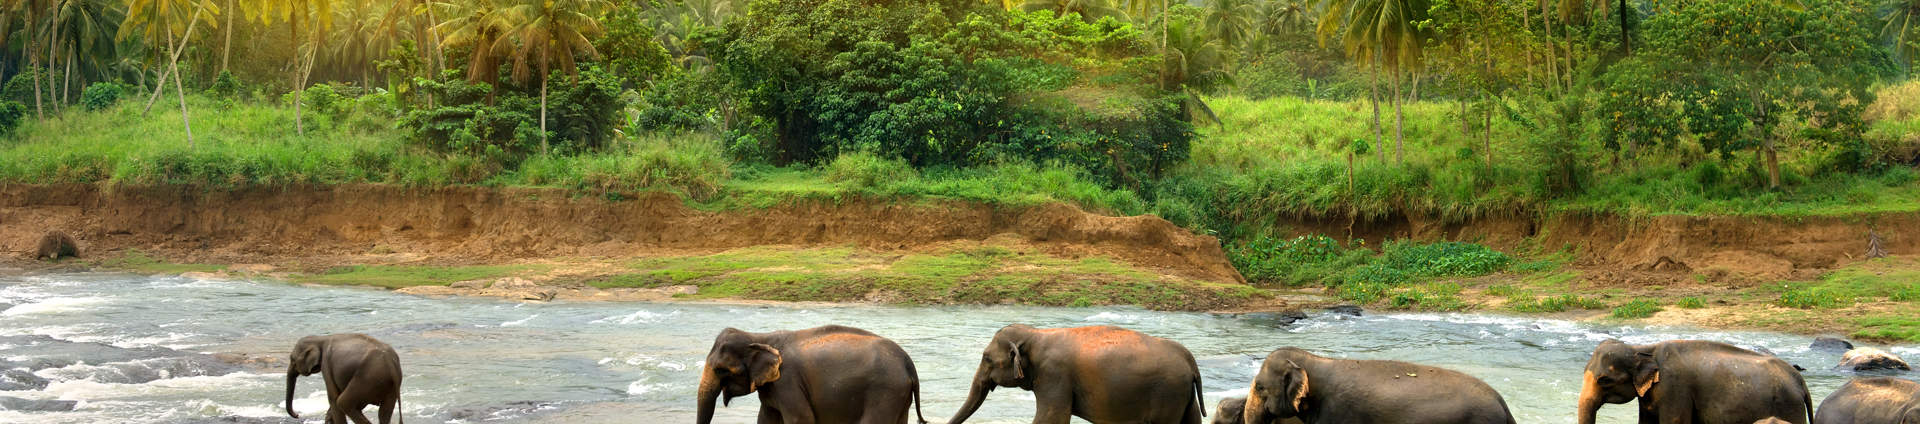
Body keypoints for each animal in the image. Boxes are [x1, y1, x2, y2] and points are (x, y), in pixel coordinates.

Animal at [695, 325, 926, 424]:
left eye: (721, 370)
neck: (760, 336)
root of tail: (909, 363)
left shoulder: (787, 382)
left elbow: (801, 418)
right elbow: (766, 419)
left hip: (884, 392)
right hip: (898, 394)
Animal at [948, 324, 1206, 424]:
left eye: (986, 359)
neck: (1035, 334)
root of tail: (1190, 359)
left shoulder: (1054, 376)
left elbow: (1052, 418)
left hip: (1167, 394)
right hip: (1185, 397)